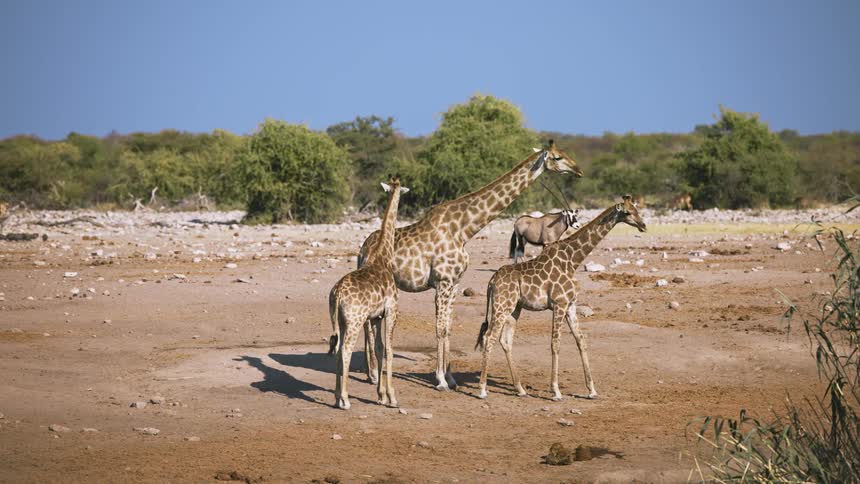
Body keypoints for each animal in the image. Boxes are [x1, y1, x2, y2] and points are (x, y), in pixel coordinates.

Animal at [327, 176, 408, 410]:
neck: (384, 256)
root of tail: (337, 294)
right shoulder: (391, 310)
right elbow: (389, 349)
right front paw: (392, 397)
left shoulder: (375, 317)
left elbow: (380, 348)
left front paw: (381, 395)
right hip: (354, 321)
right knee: (345, 351)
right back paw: (345, 400)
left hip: (341, 320)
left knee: (338, 351)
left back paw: (337, 397)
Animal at [358, 141, 583, 390]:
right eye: (557, 157)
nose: (578, 170)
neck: (463, 230)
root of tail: (362, 249)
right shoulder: (443, 281)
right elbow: (439, 328)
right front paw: (440, 381)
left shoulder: (455, 283)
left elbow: (448, 328)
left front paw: (451, 378)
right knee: (367, 324)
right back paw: (374, 374)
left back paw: (371, 373)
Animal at [475, 196, 646, 400]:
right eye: (627, 212)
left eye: (637, 209)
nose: (643, 225)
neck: (572, 260)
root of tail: (492, 281)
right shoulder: (559, 304)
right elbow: (555, 344)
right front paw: (556, 391)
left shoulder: (570, 305)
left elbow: (581, 340)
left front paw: (592, 390)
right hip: (502, 306)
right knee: (489, 337)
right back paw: (482, 389)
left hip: (514, 308)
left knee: (505, 340)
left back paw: (520, 389)